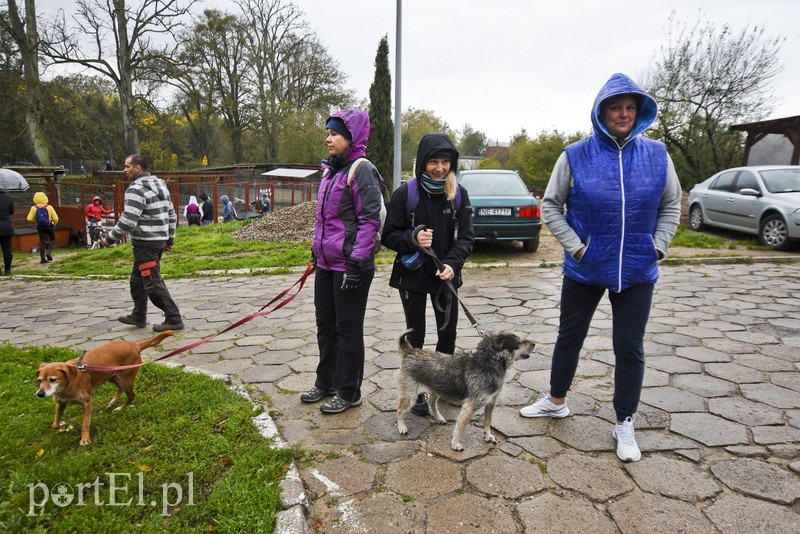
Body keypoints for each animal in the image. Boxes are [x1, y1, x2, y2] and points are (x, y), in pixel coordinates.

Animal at [35, 332, 173, 446]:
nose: (40, 394)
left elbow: (85, 423)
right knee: (120, 388)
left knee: (131, 395)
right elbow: (55, 423)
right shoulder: (60, 403)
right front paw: (59, 426)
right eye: (40, 380)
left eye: (53, 379)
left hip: (125, 379)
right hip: (112, 376)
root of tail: (135, 345)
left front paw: (84, 439)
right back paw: (113, 401)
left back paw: (120, 408)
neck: (68, 385)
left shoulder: (87, 402)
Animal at [396, 330, 536, 452]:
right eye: (519, 342)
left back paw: (439, 417)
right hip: (410, 394)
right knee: (399, 409)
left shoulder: (491, 402)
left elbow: (488, 421)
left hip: (437, 388)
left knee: (431, 402)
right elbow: (461, 426)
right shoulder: (470, 406)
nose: (534, 344)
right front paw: (456, 443)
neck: (487, 364)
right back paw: (401, 427)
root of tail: (411, 351)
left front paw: (488, 435)